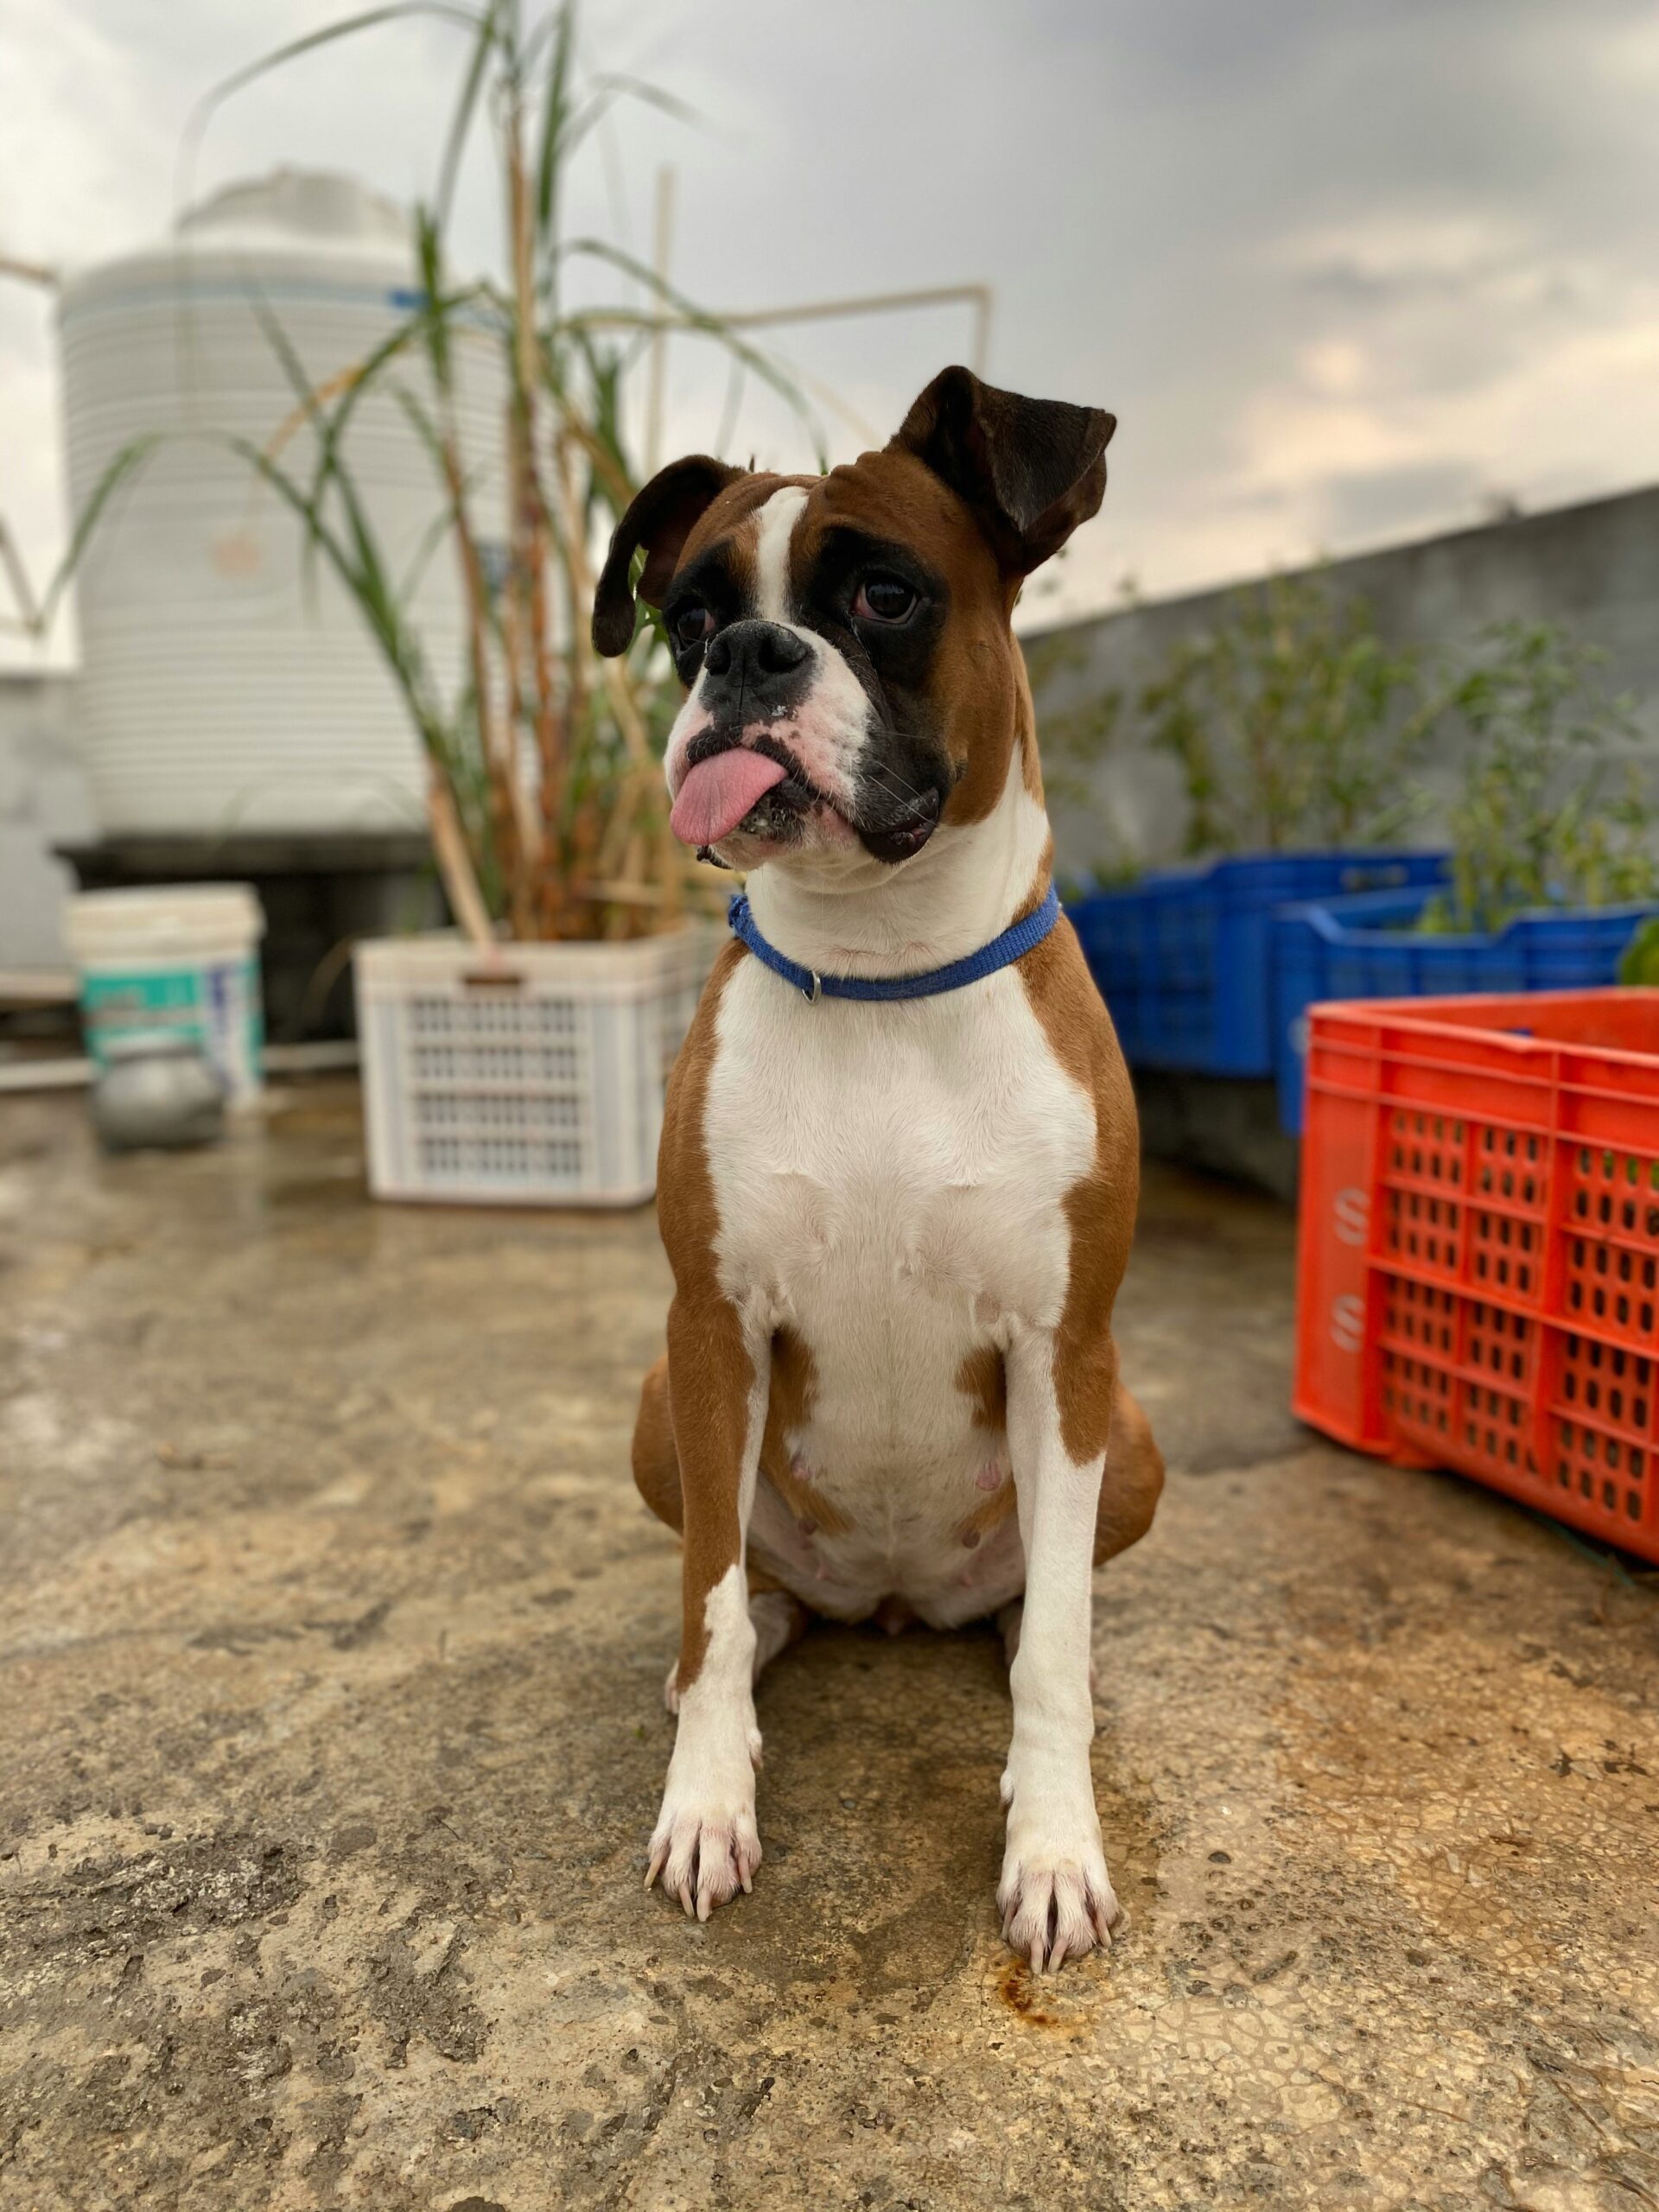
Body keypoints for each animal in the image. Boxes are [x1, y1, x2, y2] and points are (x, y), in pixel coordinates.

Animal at [597, 362, 1167, 1973]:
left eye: (887, 594)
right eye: (689, 618)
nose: (751, 658)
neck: (883, 970)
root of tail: (898, 1601)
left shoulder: (1067, 1351)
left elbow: (1053, 1657)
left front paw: (1054, 1842)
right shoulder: (710, 1333)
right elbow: (710, 1600)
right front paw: (707, 1793)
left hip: (1130, 1436)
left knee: (1037, 1609)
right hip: (663, 1412)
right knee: (747, 1587)